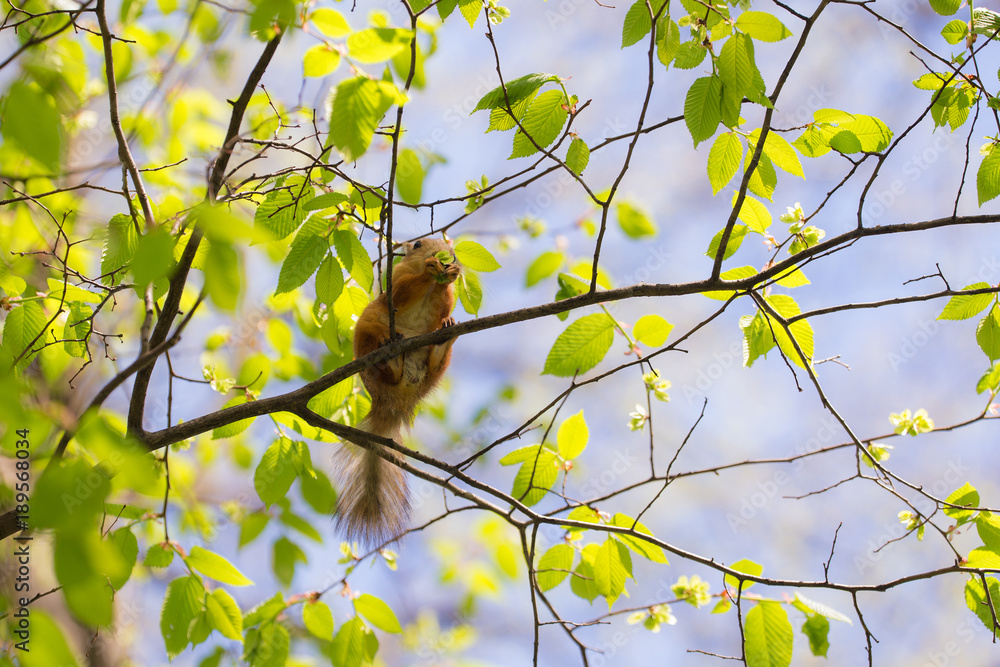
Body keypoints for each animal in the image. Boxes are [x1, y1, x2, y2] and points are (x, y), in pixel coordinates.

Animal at [333, 237, 461, 546]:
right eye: (417, 244)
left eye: (451, 248)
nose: (446, 257)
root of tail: (392, 401)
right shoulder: (394, 285)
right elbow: (403, 290)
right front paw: (430, 269)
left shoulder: (442, 302)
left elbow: (444, 303)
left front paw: (451, 276)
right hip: (369, 330)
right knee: (385, 364)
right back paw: (389, 359)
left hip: (436, 370)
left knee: (436, 360)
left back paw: (445, 338)